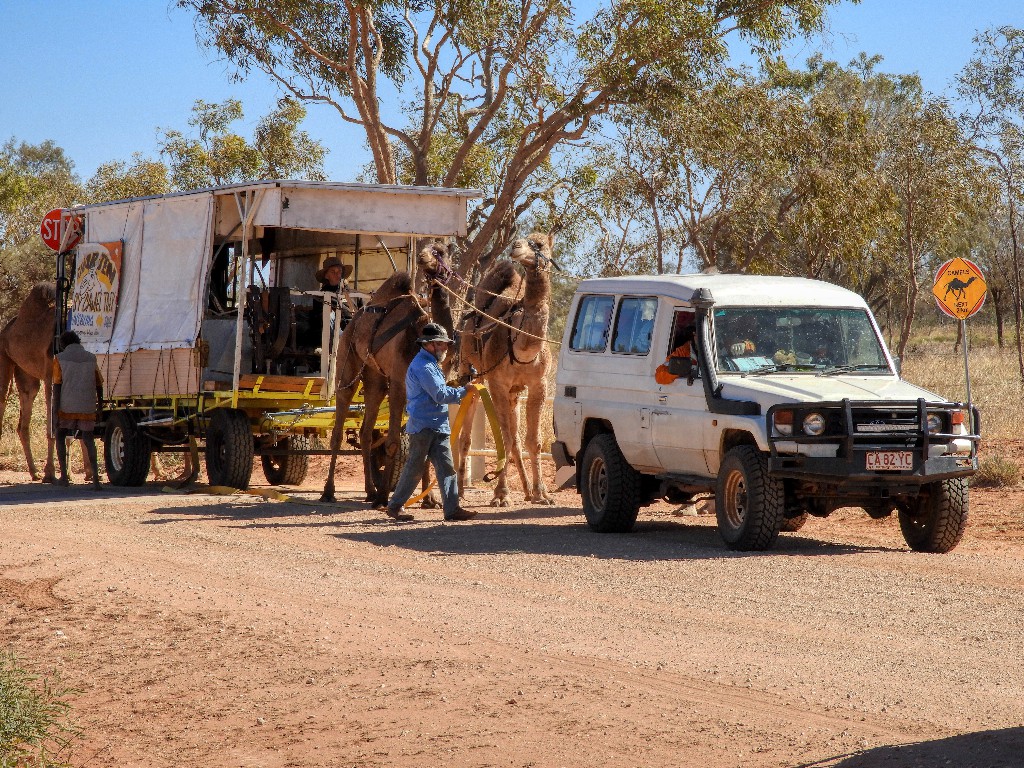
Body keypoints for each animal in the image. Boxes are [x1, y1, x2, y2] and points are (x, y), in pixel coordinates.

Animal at [321, 243, 454, 507]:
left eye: (441, 251)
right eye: (427, 249)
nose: (422, 258)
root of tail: (354, 317)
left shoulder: (435, 385)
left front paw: (429, 499)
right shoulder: (400, 382)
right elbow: (393, 441)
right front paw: (385, 497)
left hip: (375, 379)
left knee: (366, 432)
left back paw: (370, 490)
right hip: (347, 362)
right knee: (339, 426)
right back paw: (329, 491)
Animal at [454, 231, 552, 507]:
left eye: (539, 244)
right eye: (525, 239)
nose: (515, 247)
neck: (522, 348)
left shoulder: (539, 384)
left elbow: (533, 441)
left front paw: (542, 493)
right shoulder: (497, 383)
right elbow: (504, 439)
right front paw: (500, 494)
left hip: (513, 393)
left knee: (517, 438)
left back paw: (528, 490)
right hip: (471, 371)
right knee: (467, 434)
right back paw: (460, 490)